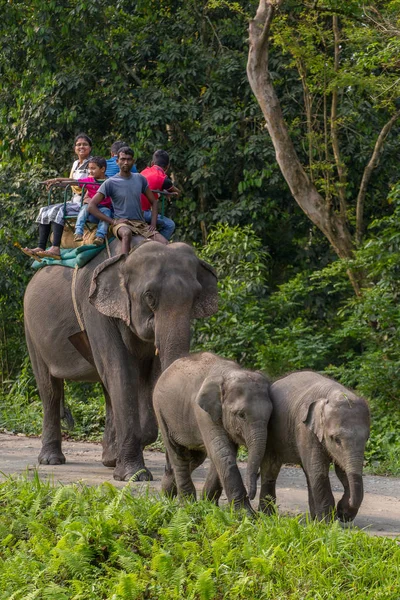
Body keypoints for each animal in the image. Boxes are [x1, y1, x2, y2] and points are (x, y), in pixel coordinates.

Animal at [23, 237, 217, 480]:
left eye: (195, 297)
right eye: (149, 296)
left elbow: (151, 377)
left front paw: (125, 455)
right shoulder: (94, 309)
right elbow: (120, 371)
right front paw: (134, 476)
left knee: (105, 388)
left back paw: (109, 458)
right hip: (31, 331)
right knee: (50, 388)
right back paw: (51, 460)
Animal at [153, 354, 272, 512]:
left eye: (271, 415)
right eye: (241, 415)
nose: (252, 496)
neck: (229, 373)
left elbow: (224, 453)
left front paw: (209, 506)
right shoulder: (202, 413)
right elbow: (222, 452)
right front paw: (246, 514)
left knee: (195, 458)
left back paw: (167, 496)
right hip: (161, 411)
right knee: (178, 454)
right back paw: (187, 505)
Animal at [260, 370, 370, 520]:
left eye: (367, 438)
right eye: (335, 439)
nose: (341, 512)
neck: (332, 394)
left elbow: (341, 470)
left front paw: (341, 513)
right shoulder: (305, 429)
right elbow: (318, 471)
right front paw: (328, 522)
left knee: (308, 475)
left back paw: (313, 518)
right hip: (271, 436)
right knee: (270, 469)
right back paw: (266, 516)